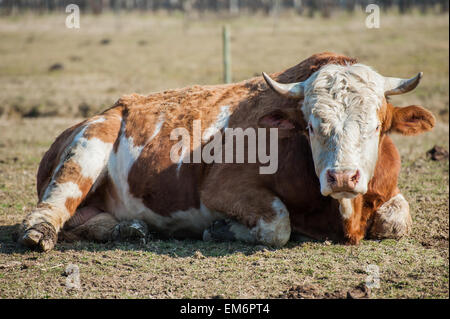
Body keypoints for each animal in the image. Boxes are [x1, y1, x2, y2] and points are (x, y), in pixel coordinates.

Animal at [15, 52, 434, 252]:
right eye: (313, 126)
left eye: (376, 126)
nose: (343, 177)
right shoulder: (221, 189)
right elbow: (278, 225)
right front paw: (221, 228)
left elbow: (397, 220)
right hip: (88, 145)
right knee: (54, 206)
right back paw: (39, 233)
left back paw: (127, 229)